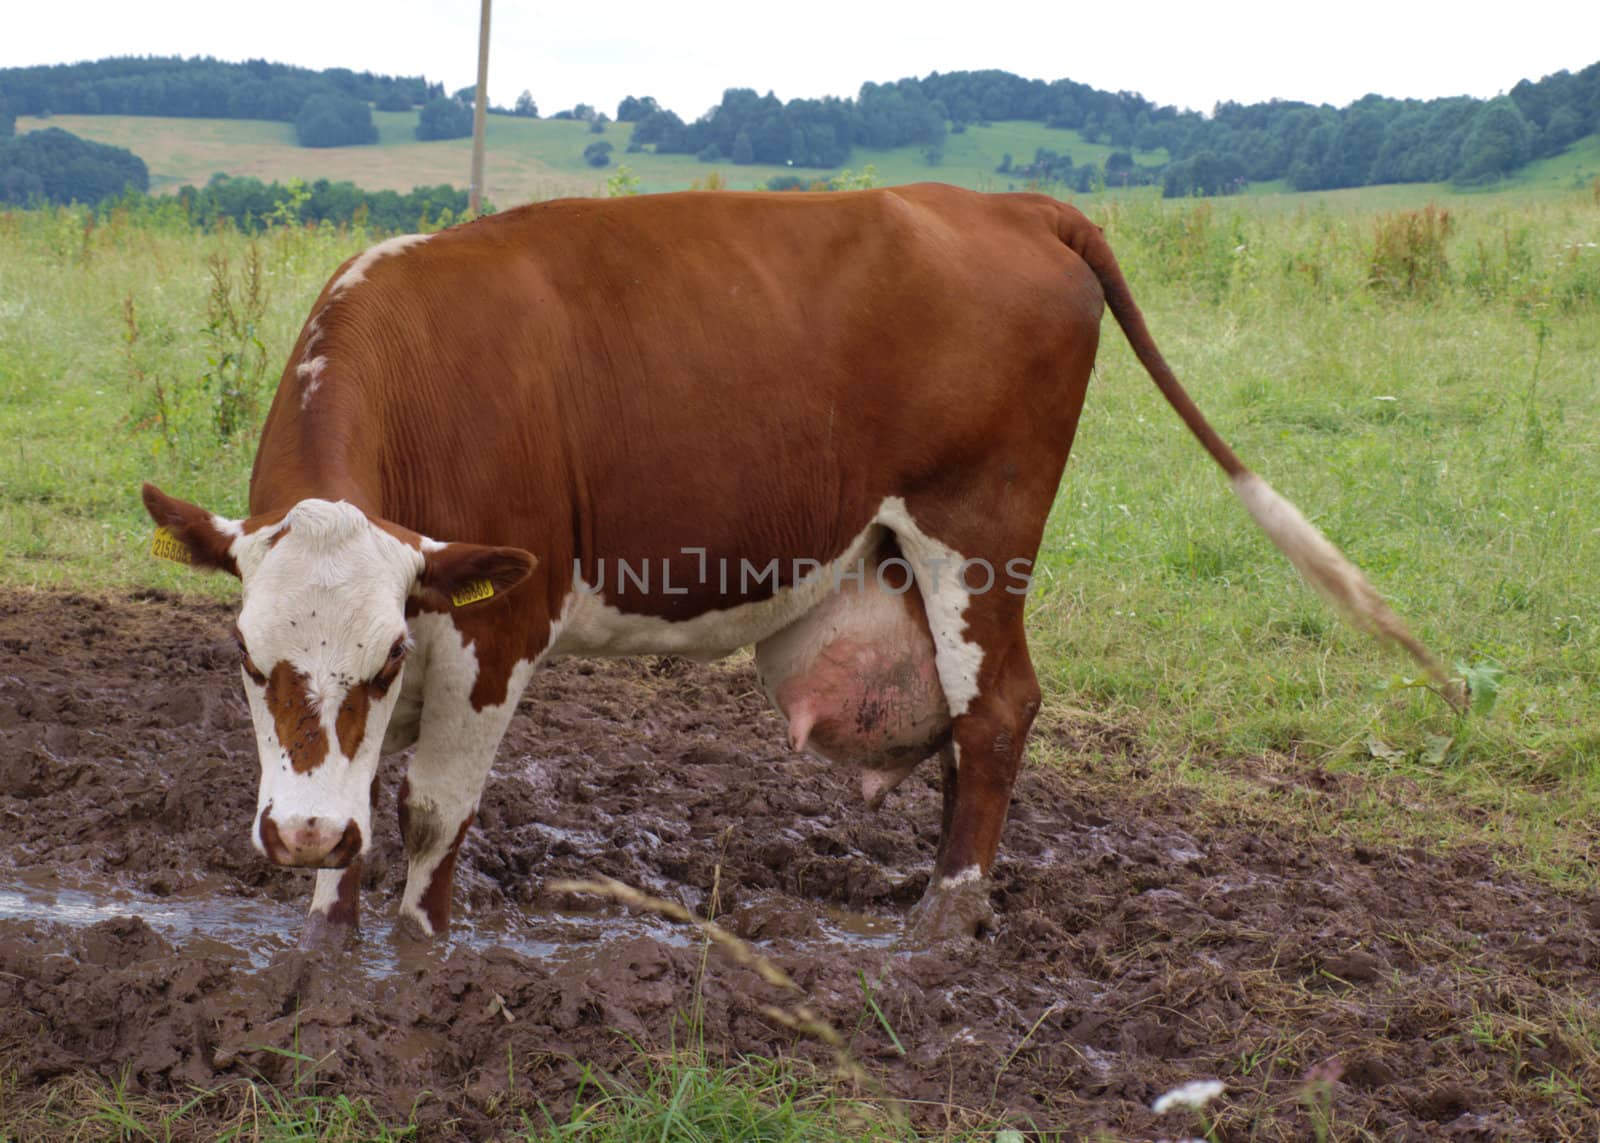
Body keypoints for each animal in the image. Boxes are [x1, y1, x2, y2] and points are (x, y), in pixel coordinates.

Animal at [147, 180, 1452, 941]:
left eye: (376, 665)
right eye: (246, 660)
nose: (296, 838)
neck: (430, 373)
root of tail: (1004, 201)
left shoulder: (492, 627)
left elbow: (429, 813)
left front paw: (413, 966)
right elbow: (361, 801)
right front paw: (325, 938)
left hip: (978, 536)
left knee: (998, 711)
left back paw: (946, 921)